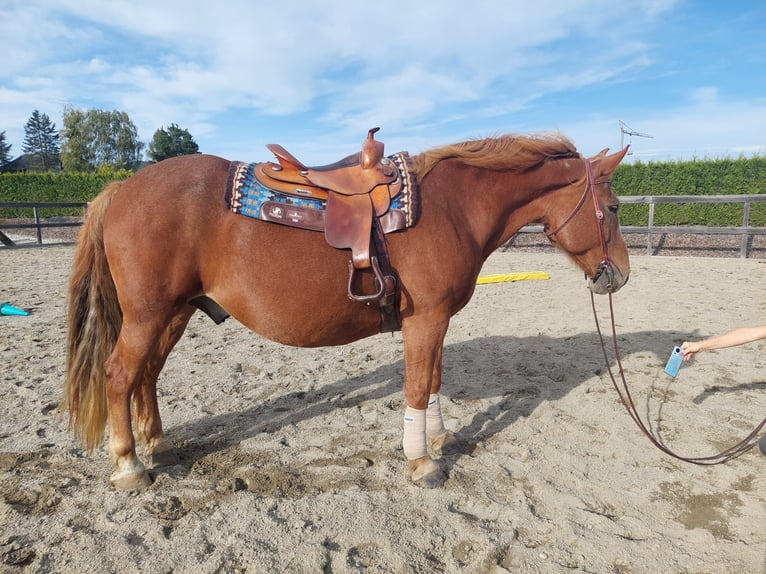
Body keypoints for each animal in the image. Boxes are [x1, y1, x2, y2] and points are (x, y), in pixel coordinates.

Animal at [63, 133, 632, 492]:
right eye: (614, 207)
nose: (620, 275)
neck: (452, 208)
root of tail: (122, 188)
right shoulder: (425, 319)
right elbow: (416, 385)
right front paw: (421, 462)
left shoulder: (437, 320)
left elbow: (434, 379)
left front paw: (439, 437)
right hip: (148, 316)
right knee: (120, 375)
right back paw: (129, 466)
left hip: (174, 314)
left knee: (147, 375)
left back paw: (155, 442)